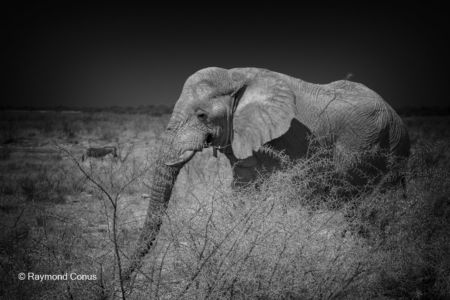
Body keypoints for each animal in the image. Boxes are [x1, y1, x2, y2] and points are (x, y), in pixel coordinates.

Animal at [121, 66, 410, 288]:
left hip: (388, 148)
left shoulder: (287, 137)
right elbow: (243, 187)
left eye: (202, 115)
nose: (123, 281)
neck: (235, 77)